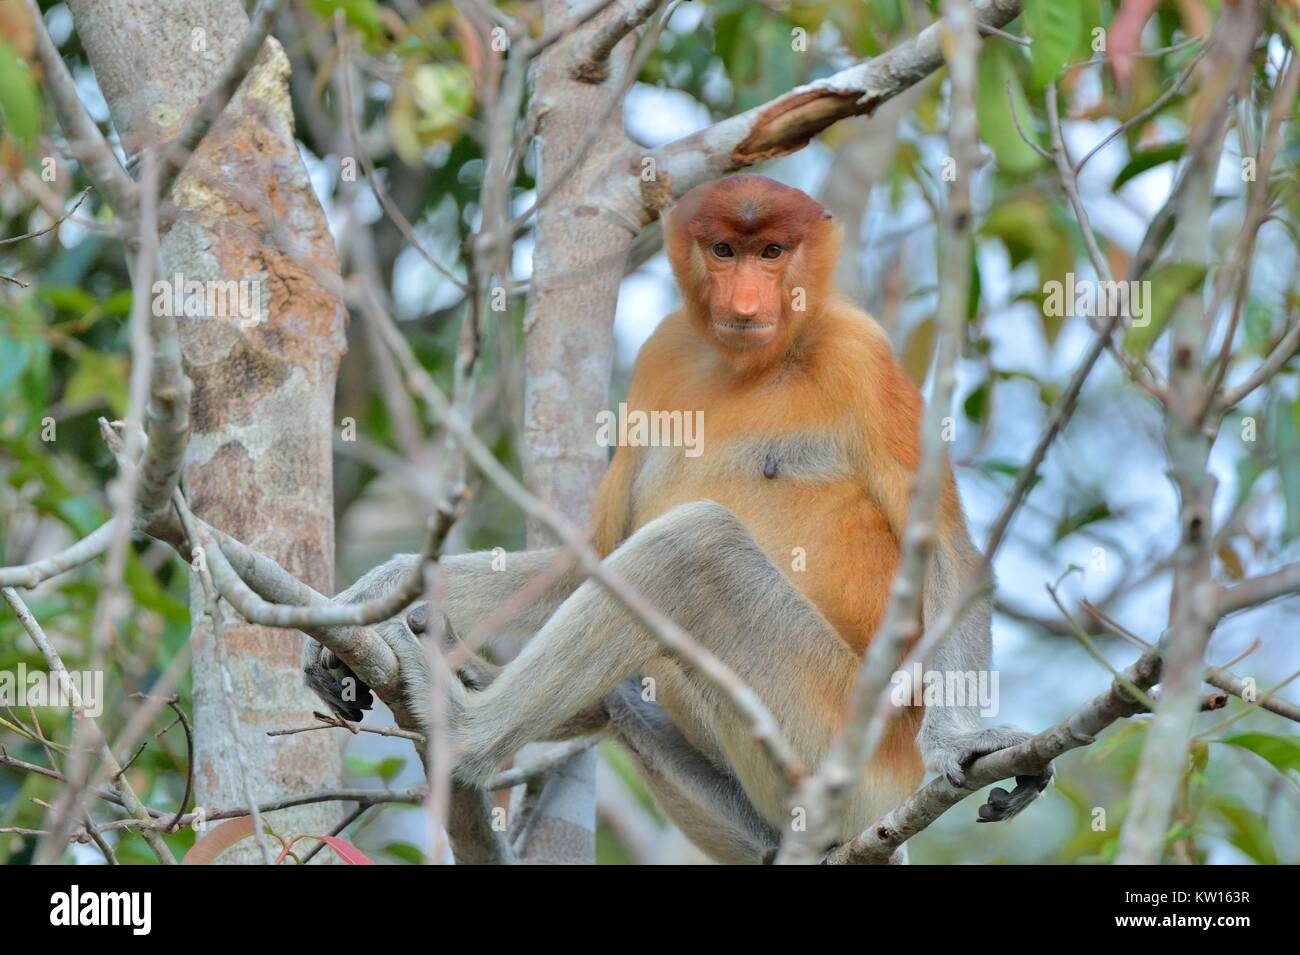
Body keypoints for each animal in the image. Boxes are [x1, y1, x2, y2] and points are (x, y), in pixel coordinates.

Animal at [304, 175, 1050, 864]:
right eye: (723, 251)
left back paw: (463, 729)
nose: (744, 303)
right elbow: (593, 554)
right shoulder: (664, 350)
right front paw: (378, 588)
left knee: (698, 548)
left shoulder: (861, 353)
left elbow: (950, 553)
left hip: (847, 742)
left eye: (772, 252)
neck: (755, 364)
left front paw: (960, 740)